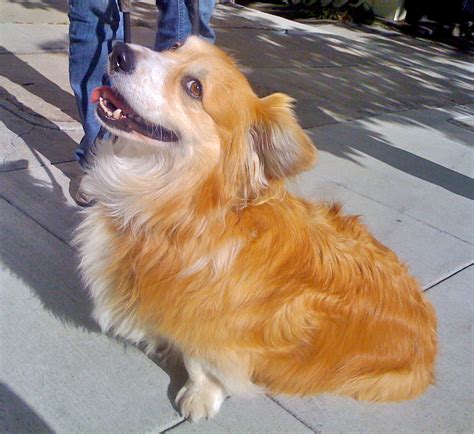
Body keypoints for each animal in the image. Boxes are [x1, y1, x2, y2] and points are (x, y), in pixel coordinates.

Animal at [75, 36, 436, 420]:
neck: (181, 214)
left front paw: (199, 397)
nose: (118, 51)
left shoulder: (218, 329)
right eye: (174, 47)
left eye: (194, 88)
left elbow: (202, 361)